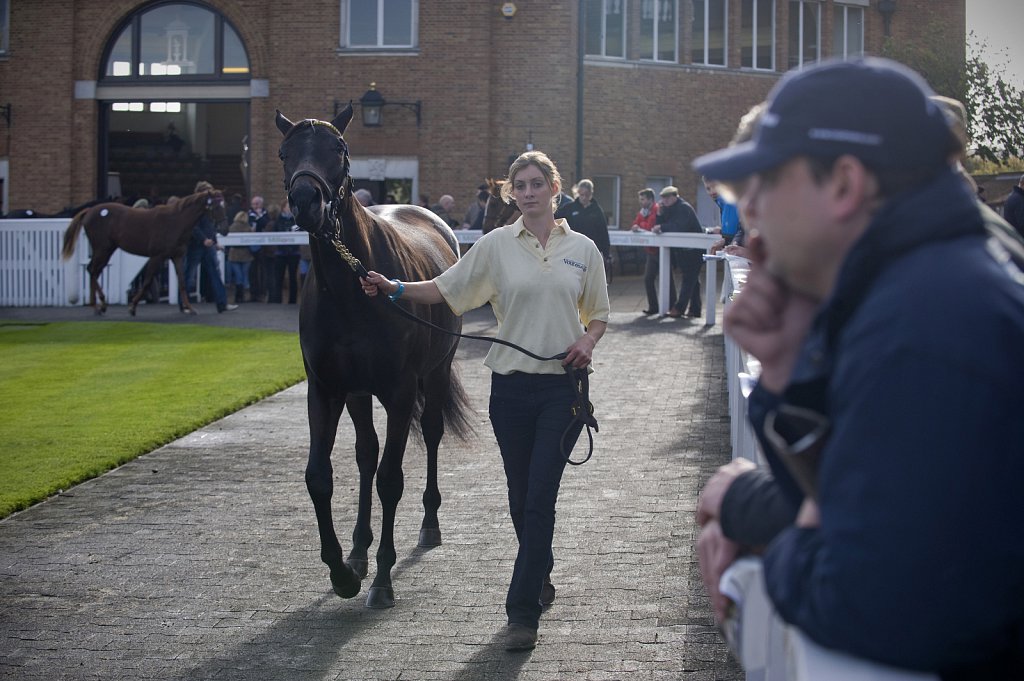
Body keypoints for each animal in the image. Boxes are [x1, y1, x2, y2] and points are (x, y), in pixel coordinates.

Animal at [62, 189, 227, 315]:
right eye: (217, 205)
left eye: (223, 204)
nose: (224, 230)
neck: (175, 221)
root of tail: (89, 211)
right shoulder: (156, 256)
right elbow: (147, 281)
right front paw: (133, 307)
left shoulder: (177, 256)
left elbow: (182, 281)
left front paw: (190, 308)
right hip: (102, 249)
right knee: (92, 269)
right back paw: (98, 305)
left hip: (107, 249)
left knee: (94, 271)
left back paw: (99, 305)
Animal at [278, 107, 473, 610]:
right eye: (285, 152)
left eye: (339, 149)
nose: (306, 201)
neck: (350, 291)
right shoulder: (326, 389)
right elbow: (320, 477)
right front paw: (343, 571)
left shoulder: (400, 392)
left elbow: (391, 479)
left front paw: (383, 580)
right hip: (358, 393)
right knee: (366, 453)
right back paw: (359, 549)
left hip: (435, 373)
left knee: (430, 434)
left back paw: (428, 526)